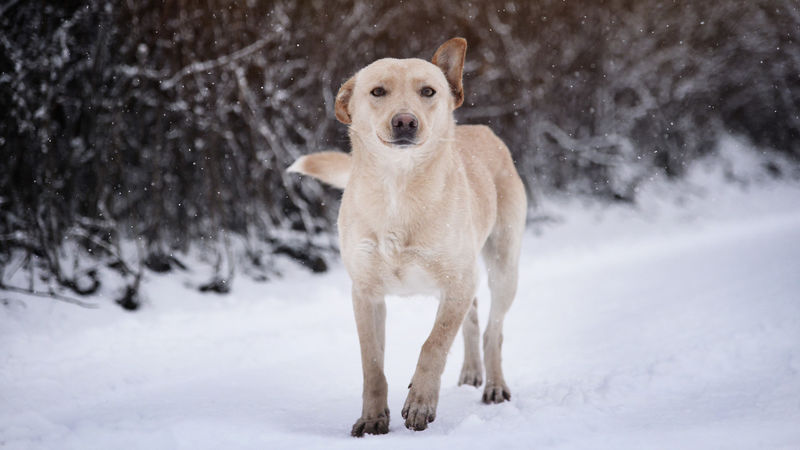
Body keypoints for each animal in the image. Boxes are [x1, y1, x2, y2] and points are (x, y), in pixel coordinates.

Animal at [286, 37, 524, 436]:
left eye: (428, 91)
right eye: (377, 92)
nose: (405, 121)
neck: (398, 186)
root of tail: (483, 130)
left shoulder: (456, 282)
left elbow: (433, 345)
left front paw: (420, 403)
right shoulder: (365, 294)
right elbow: (372, 364)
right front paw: (371, 418)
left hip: (503, 266)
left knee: (494, 330)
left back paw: (493, 384)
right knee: (475, 317)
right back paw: (471, 372)